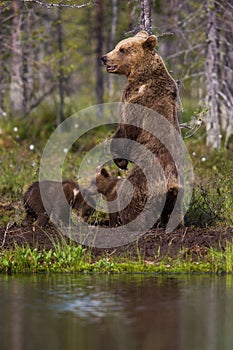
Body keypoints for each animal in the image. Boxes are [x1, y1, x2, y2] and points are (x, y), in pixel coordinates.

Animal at [101, 31, 184, 231]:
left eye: (122, 49)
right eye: (117, 46)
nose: (104, 58)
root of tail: (170, 186)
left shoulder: (137, 101)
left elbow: (126, 129)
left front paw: (120, 160)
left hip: (145, 178)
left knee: (129, 194)